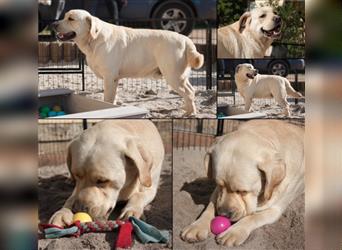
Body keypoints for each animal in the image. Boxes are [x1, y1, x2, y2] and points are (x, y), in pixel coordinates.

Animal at [50, 9, 203, 115]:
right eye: (64, 16)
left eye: (71, 19)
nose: (53, 24)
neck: (94, 39)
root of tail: (186, 40)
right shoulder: (114, 78)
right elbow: (113, 99)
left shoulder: (110, 77)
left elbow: (108, 99)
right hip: (181, 76)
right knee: (191, 90)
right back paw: (187, 109)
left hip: (173, 75)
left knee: (189, 92)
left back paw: (190, 113)